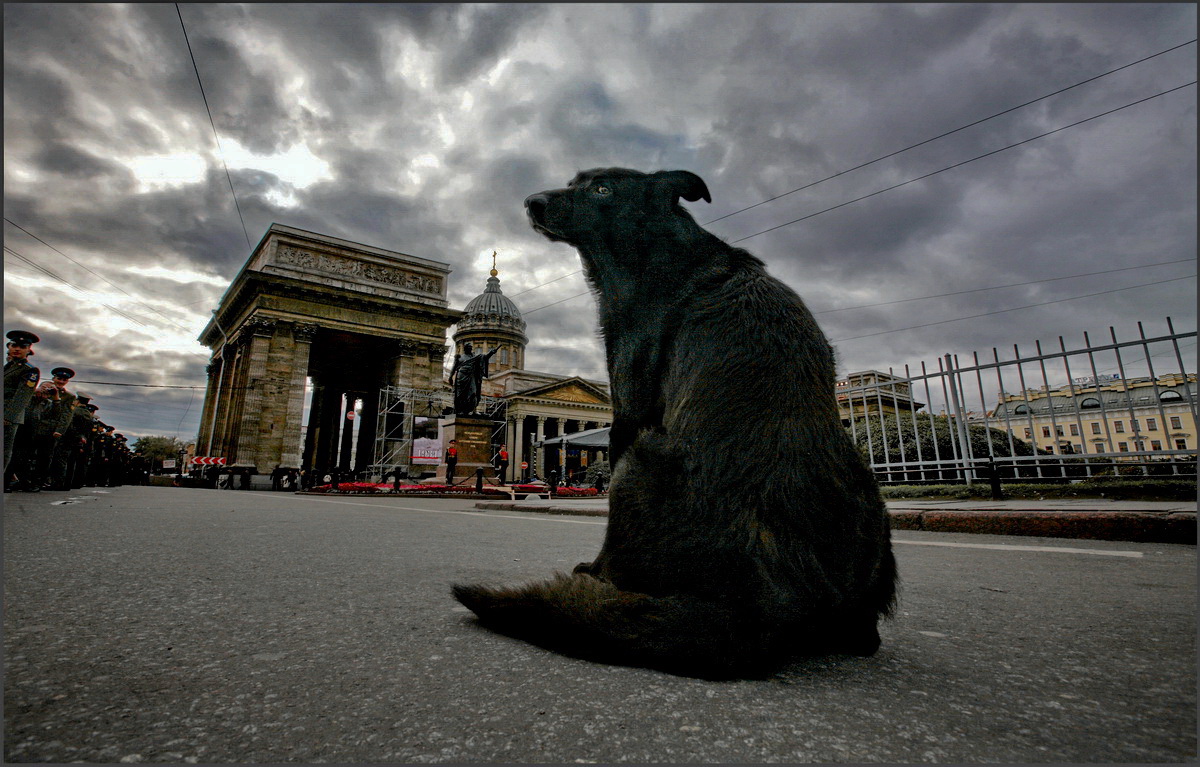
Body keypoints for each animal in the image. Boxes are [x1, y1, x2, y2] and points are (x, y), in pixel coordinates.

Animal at [453, 168, 897, 676]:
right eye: (575, 180)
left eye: (602, 188)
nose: (532, 201)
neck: (669, 255)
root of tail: (773, 604)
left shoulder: (625, 409)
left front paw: (593, 568)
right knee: (862, 633)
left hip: (638, 461)